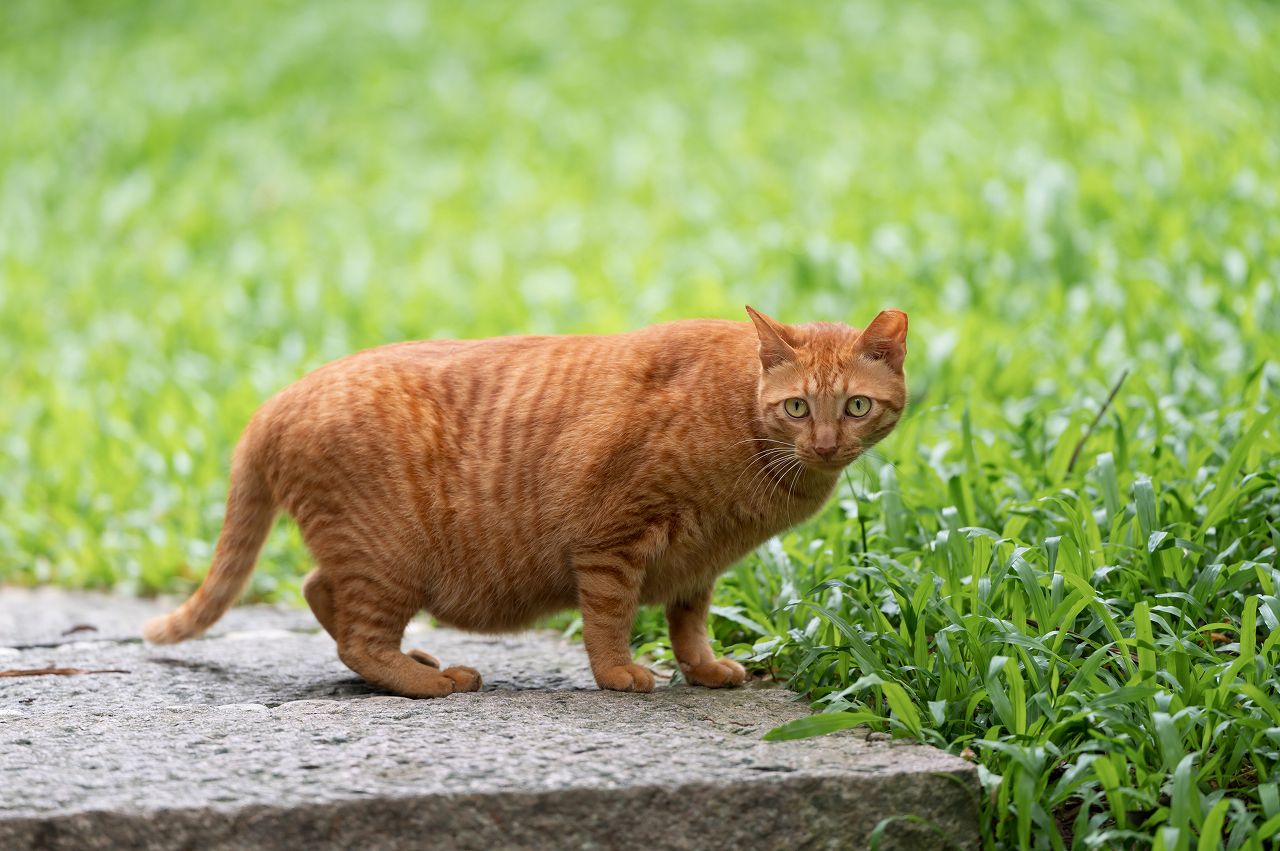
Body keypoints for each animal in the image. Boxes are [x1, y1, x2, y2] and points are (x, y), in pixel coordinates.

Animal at [145, 308, 911, 696]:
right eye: (796, 407)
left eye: (856, 406)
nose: (824, 443)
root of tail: (278, 398)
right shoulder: (612, 539)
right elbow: (609, 619)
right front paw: (619, 675)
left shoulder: (699, 563)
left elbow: (688, 624)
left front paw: (702, 669)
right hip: (388, 557)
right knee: (359, 639)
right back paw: (433, 681)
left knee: (318, 593)